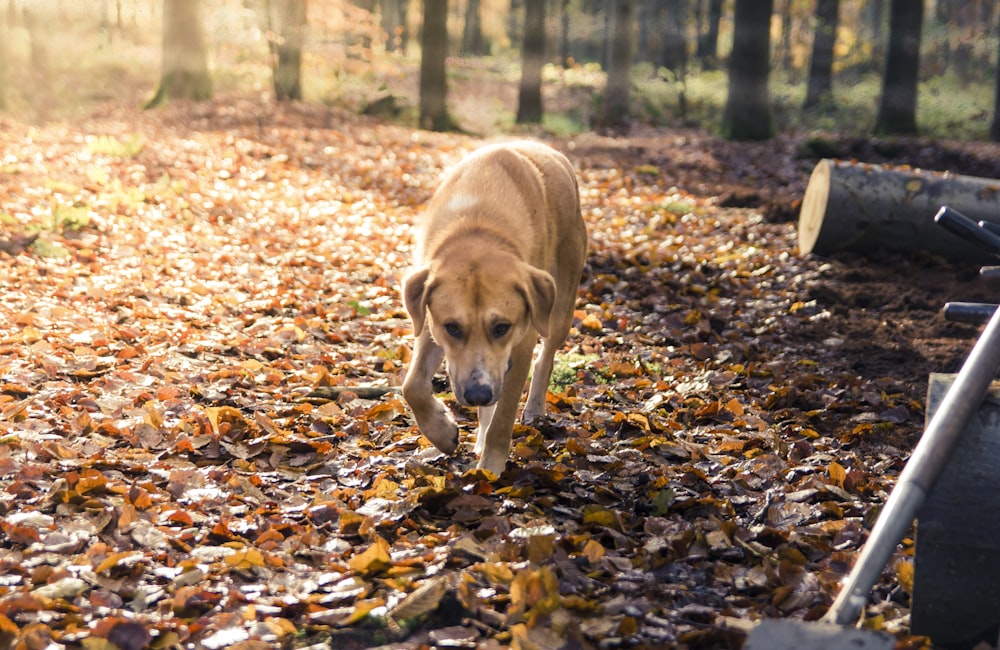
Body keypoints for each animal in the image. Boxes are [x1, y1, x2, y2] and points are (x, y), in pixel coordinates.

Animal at [398, 142, 584, 474]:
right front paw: (442, 432)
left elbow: (503, 416)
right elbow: (413, 386)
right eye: (453, 327)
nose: (477, 394)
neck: (477, 225)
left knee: (546, 356)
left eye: (502, 327)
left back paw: (533, 407)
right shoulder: (429, 325)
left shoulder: (520, 343)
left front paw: (490, 468)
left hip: (561, 304)